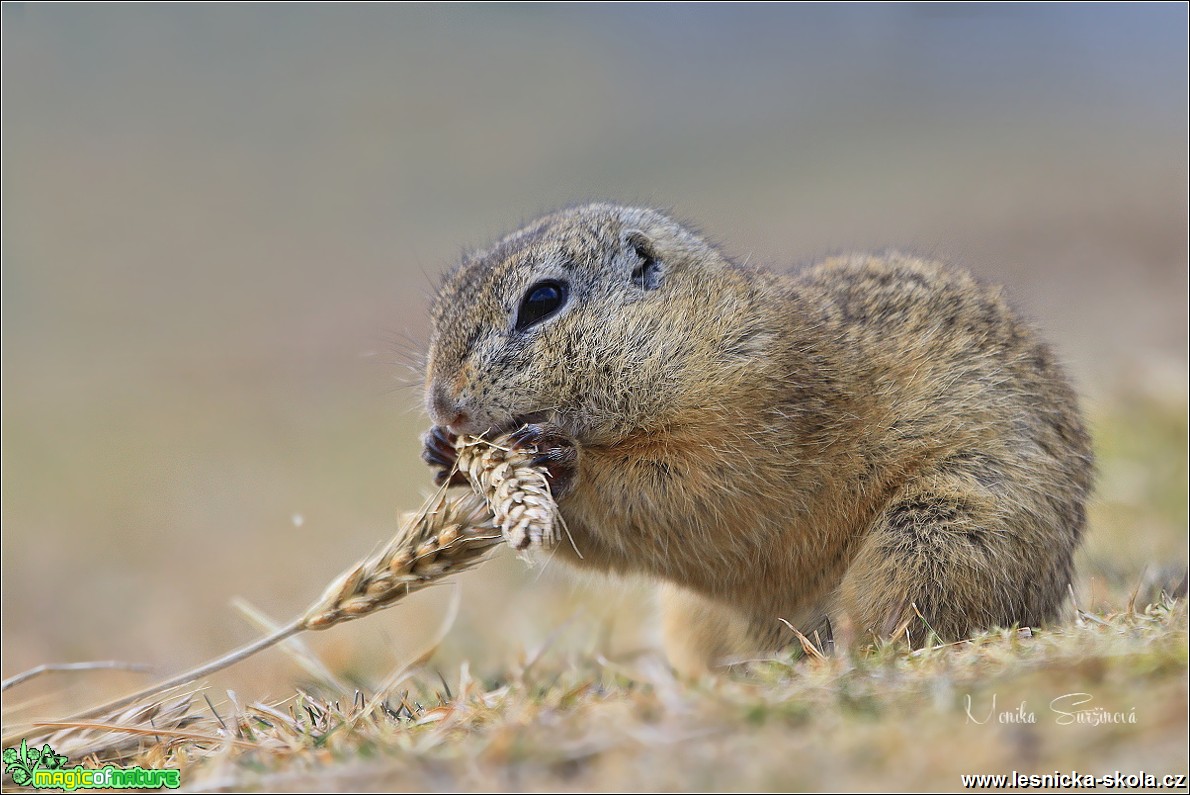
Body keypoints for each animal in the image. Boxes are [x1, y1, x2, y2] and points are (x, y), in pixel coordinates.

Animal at [418, 202, 1094, 675]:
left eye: (543, 299)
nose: (444, 407)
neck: (698, 338)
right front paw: (442, 455)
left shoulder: (750, 423)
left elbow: (690, 494)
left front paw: (560, 456)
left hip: (940, 534)